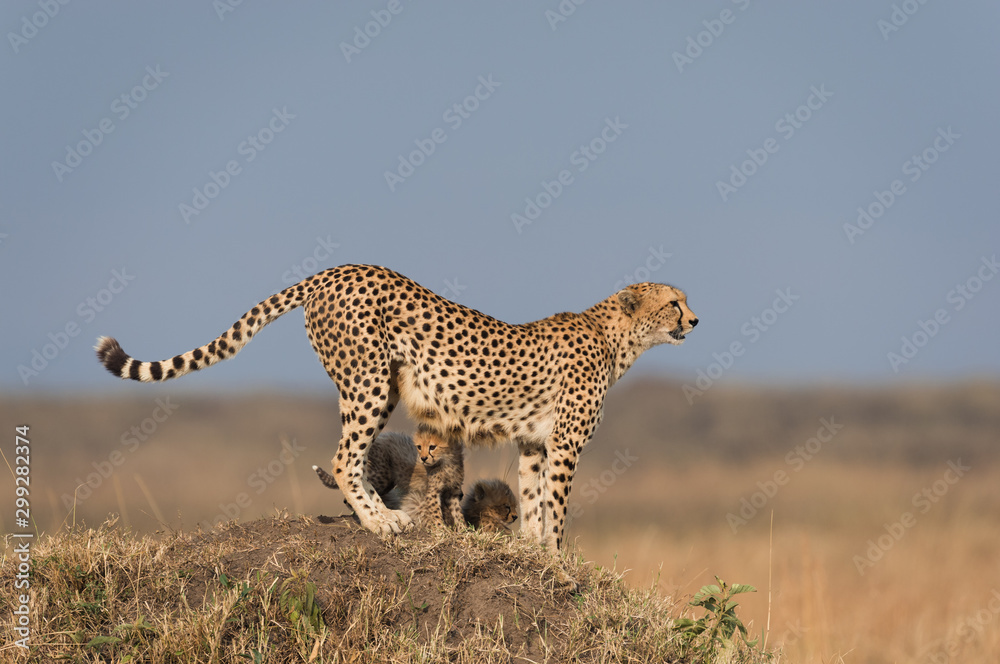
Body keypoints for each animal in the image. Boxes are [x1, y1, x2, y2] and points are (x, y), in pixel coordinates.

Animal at [95, 263, 698, 554]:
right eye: (674, 302)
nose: (695, 320)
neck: (617, 338)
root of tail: (340, 268)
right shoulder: (565, 444)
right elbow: (557, 506)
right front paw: (558, 558)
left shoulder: (532, 440)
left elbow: (532, 499)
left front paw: (533, 552)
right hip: (368, 380)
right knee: (344, 457)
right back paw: (380, 522)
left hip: (378, 385)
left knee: (353, 456)